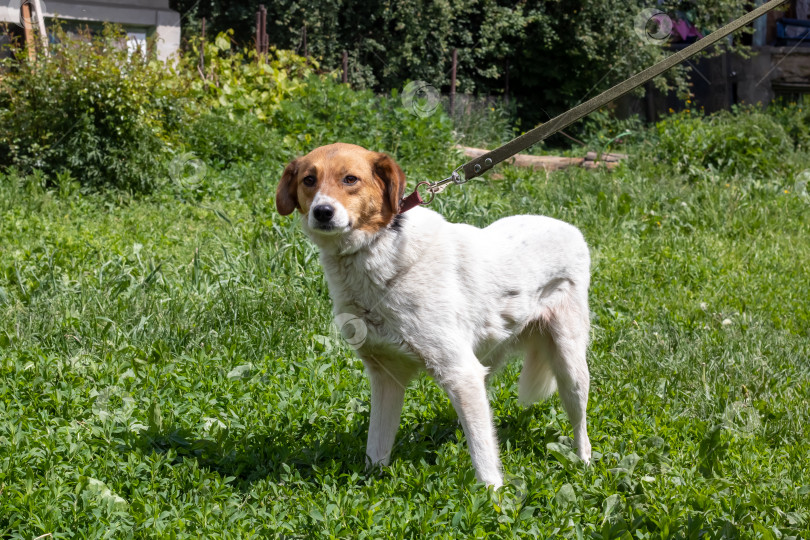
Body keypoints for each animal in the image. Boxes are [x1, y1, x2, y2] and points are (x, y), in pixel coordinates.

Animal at [274, 143, 592, 490]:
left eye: (350, 179)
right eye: (308, 180)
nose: (322, 212)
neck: (376, 252)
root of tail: (571, 229)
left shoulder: (459, 372)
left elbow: (484, 461)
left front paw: (493, 498)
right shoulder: (387, 376)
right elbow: (376, 449)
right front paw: (371, 487)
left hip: (569, 367)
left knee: (579, 425)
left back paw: (584, 464)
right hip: (487, 357)